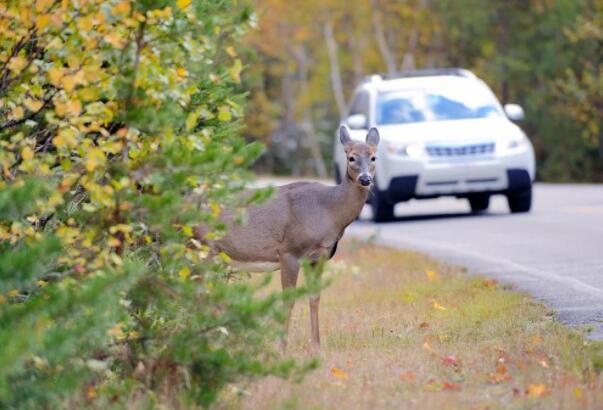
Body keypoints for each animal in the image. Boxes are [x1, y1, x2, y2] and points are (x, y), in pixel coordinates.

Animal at [196, 126, 380, 350]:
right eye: (351, 157)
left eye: (373, 157)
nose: (365, 179)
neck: (328, 210)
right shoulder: (289, 251)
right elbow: (288, 301)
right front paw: (282, 348)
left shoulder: (318, 257)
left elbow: (314, 297)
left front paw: (316, 347)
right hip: (203, 247)